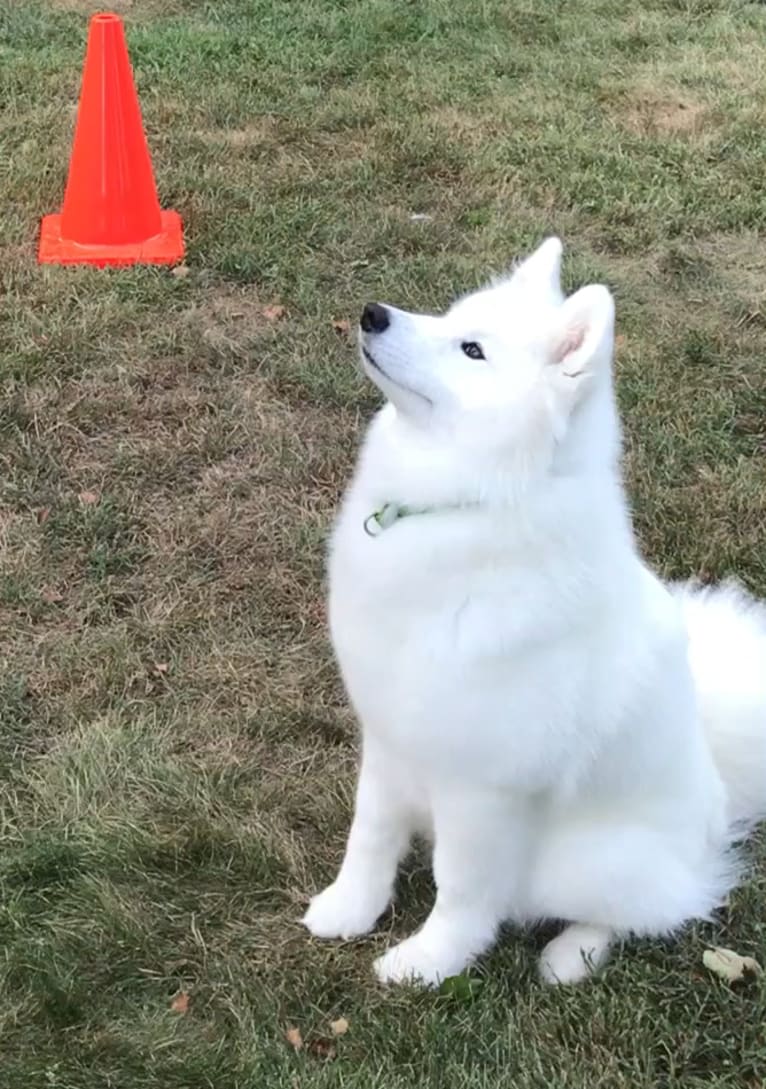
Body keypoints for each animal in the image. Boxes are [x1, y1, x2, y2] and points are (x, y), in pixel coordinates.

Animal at [302, 238, 762, 988]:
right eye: (449, 314)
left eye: (472, 351)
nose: (372, 313)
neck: (471, 505)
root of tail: (721, 798)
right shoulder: (392, 735)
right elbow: (369, 833)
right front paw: (350, 907)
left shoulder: (484, 792)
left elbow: (461, 888)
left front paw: (429, 961)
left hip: (584, 863)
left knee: (660, 909)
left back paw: (572, 954)